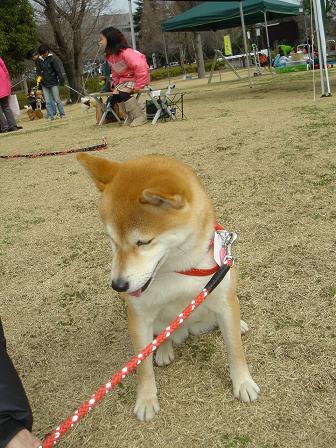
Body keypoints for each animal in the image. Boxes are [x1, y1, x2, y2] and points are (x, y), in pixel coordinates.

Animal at [77, 153, 260, 420]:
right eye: (112, 240)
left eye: (143, 242)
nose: (118, 285)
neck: (178, 268)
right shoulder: (139, 318)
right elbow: (142, 366)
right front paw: (146, 399)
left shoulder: (224, 301)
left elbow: (235, 349)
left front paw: (243, 383)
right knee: (163, 336)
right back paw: (163, 350)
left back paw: (241, 324)